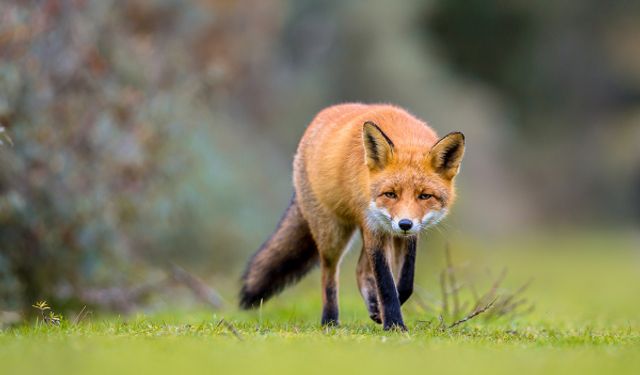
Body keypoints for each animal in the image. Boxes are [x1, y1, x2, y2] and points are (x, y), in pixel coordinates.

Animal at [240, 104, 464, 330]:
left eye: (424, 196)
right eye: (390, 194)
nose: (405, 224)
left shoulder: (406, 235)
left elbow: (406, 282)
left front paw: (383, 313)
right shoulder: (374, 227)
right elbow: (386, 284)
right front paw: (394, 324)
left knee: (360, 270)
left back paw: (371, 307)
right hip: (333, 234)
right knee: (329, 273)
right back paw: (329, 321)